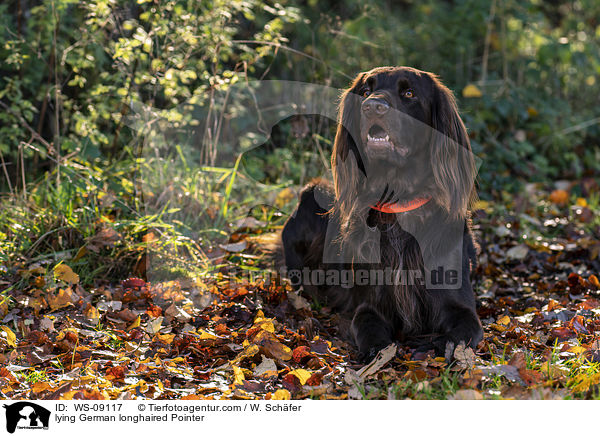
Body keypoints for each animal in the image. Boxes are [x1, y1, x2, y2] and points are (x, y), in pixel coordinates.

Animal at [282, 67, 482, 362]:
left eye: (409, 93)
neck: (398, 207)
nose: (372, 106)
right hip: (315, 194)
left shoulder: (461, 308)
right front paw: (378, 352)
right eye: (365, 91)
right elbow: (368, 327)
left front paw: (432, 347)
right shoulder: (370, 304)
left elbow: (457, 337)